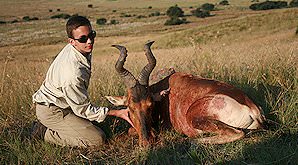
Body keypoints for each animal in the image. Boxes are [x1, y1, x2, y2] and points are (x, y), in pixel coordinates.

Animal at [106, 41, 266, 146]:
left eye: (150, 105)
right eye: (130, 107)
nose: (147, 142)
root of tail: (253, 109)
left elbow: (130, 131)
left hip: (195, 118)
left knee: (238, 133)